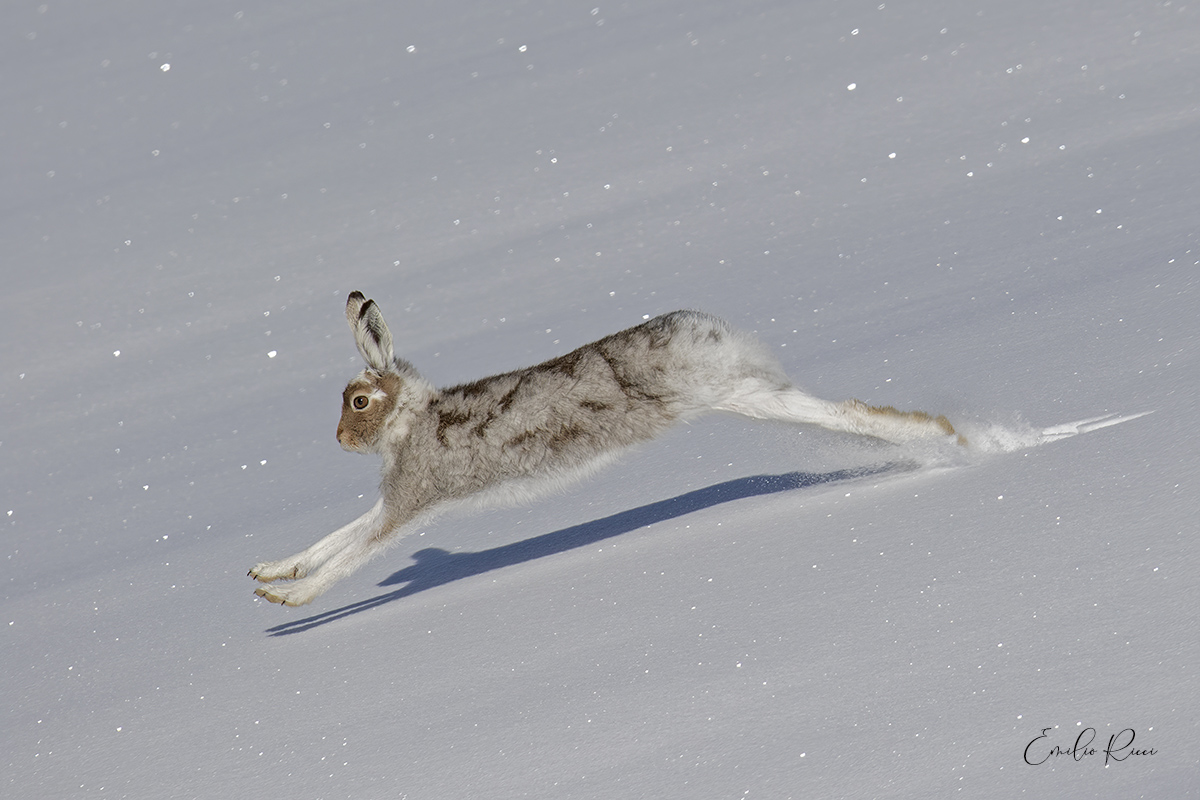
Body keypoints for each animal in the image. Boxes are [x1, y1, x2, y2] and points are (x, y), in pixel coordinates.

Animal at [249, 291, 964, 606]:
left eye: (357, 402)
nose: (340, 439)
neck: (411, 419)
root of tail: (709, 331)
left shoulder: (410, 502)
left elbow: (353, 554)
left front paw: (291, 603)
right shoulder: (391, 500)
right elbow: (333, 538)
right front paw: (268, 574)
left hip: (738, 393)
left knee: (848, 415)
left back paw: (954, 443)